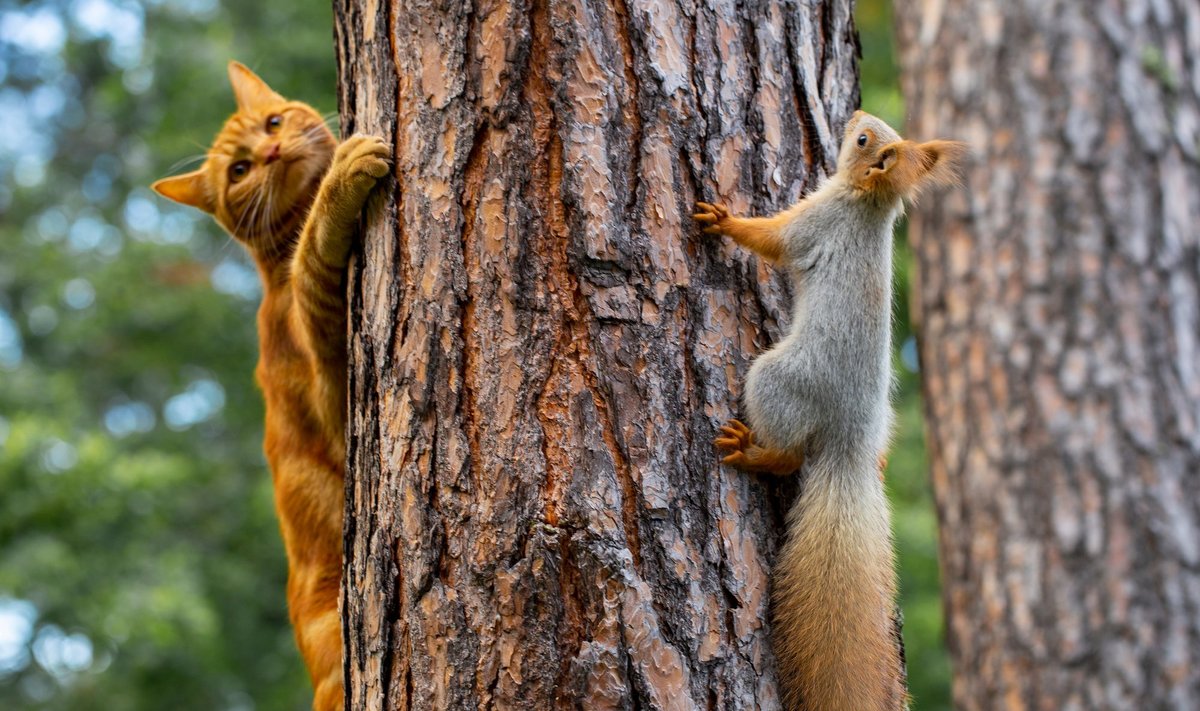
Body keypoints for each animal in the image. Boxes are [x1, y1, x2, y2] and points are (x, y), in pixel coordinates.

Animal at [148, 62, 384, 711]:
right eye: (239, 170)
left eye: (274, 123)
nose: (272, 151)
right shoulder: (335, 400)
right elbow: (312, 260)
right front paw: (341, 183)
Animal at [696, 111, 964, 711]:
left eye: (863, 140)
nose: (855, 118)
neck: (868, 204)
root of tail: (851, 443)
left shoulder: (816, 221)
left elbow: (772, 240)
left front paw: (723, 220)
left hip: (776, 379)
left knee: (790, 455)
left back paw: (752, 452)